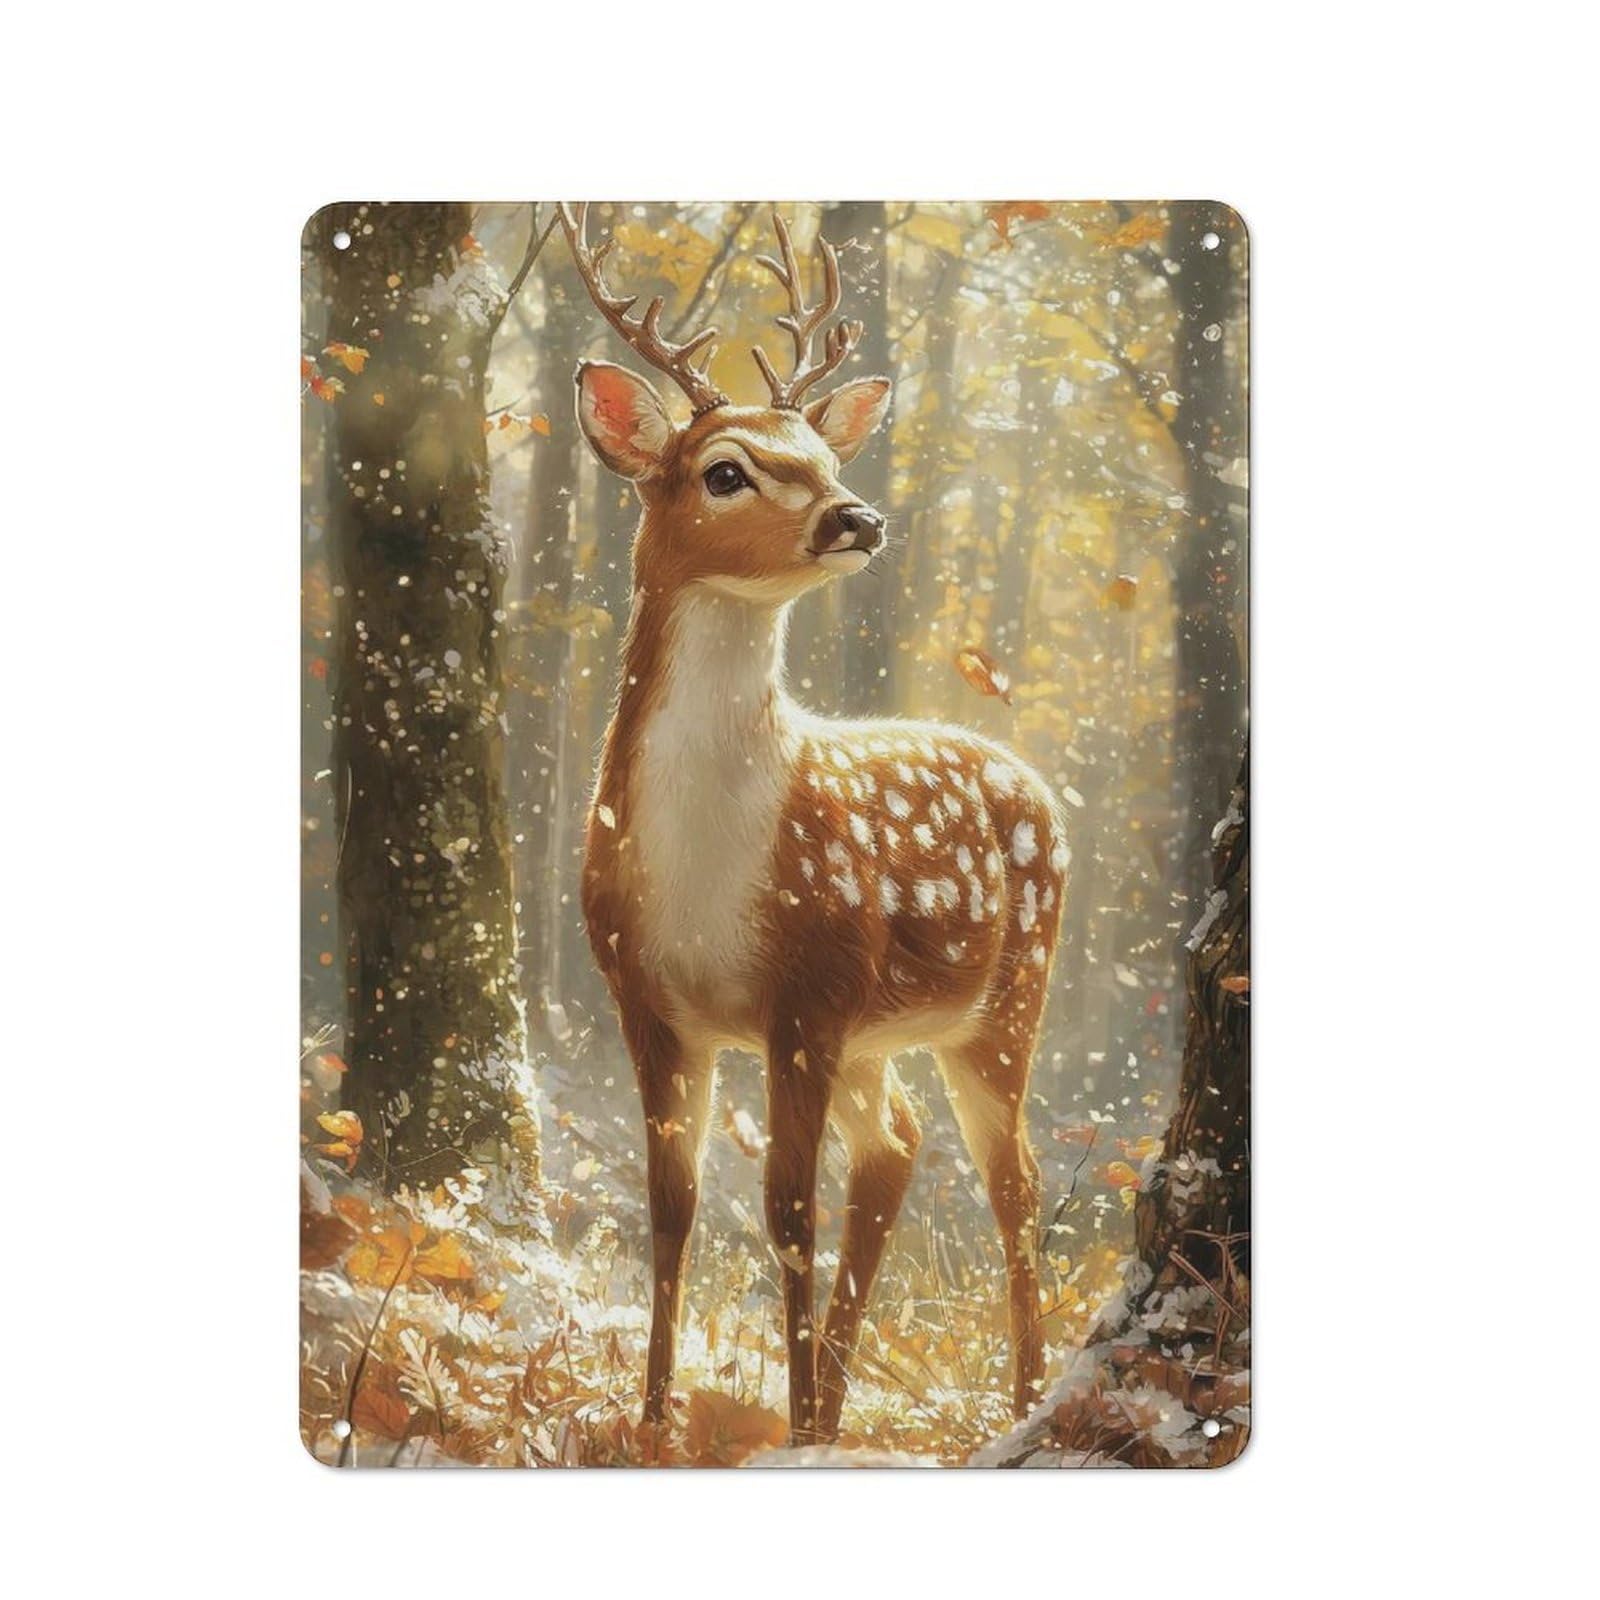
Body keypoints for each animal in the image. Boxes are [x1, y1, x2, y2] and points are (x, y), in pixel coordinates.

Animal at [560, 204, 1069, 1445]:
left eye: (829, 461)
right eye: (725, 470)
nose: (859, 516)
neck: (706, 869)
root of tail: (1039, 783)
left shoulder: (810, 985)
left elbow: (787, 1207)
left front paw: (780, 1425)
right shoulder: (644, 993)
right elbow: (675, 1203)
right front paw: (655, 1419)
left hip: (1003, 1000)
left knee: (1012, 1183)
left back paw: (1017, 1401)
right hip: (881, 1035)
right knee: (895, 1153)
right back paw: (838, 1408)